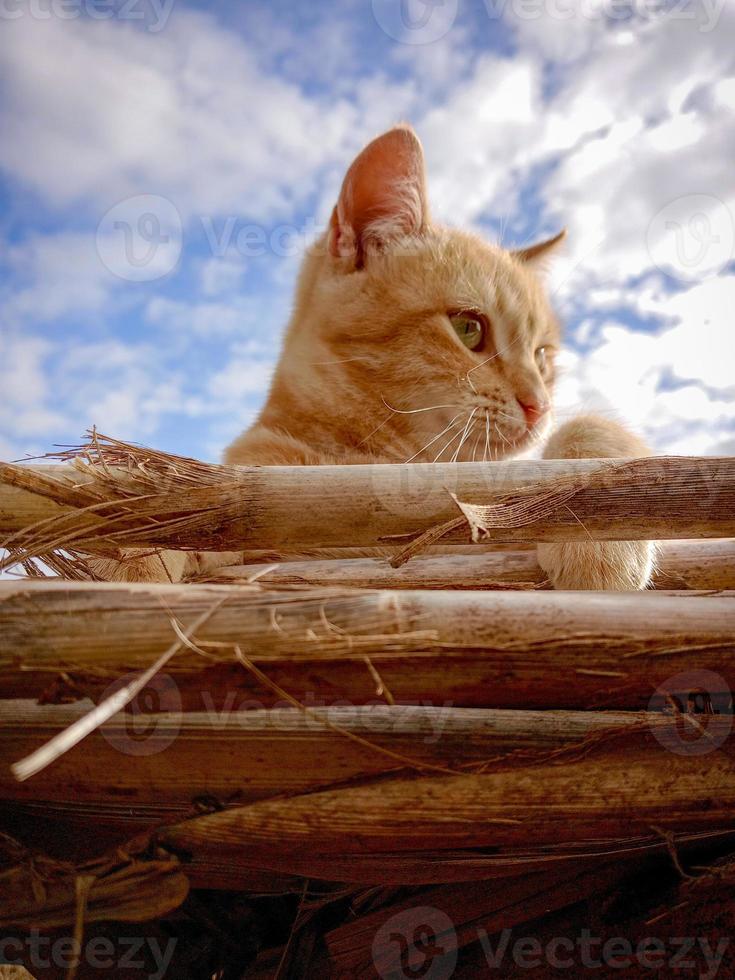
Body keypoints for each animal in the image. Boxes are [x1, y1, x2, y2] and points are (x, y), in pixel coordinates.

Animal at [93, 122, 656, 588]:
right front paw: (131, 558)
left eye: (541, 356)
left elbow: (593, 432)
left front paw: (601, 540)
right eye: (468, 329)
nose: (539, 405)